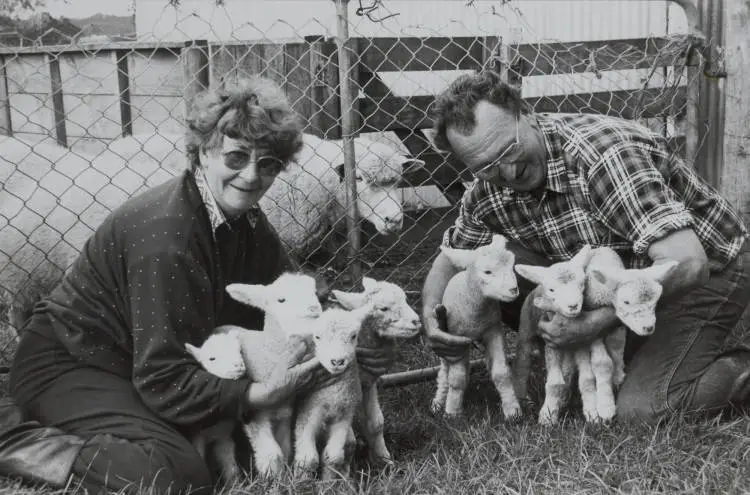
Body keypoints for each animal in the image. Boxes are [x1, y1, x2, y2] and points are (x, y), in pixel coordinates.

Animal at [328, 278, 424, 466]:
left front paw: (383, 460)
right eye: (383, 308)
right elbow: (347, 440)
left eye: (405, 299)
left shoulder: (367, 384)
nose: (416, 321)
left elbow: (377, 423)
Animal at [428, 236, 524, 422]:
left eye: (511, 265)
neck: (477, 311)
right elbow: (456, 379)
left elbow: (501, 373)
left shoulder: (493, 330)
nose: (513, 290)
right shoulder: (455, 338)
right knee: (445, 372)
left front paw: (512, 410)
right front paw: (452, 412)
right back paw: (438, 403)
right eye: (487, 272)